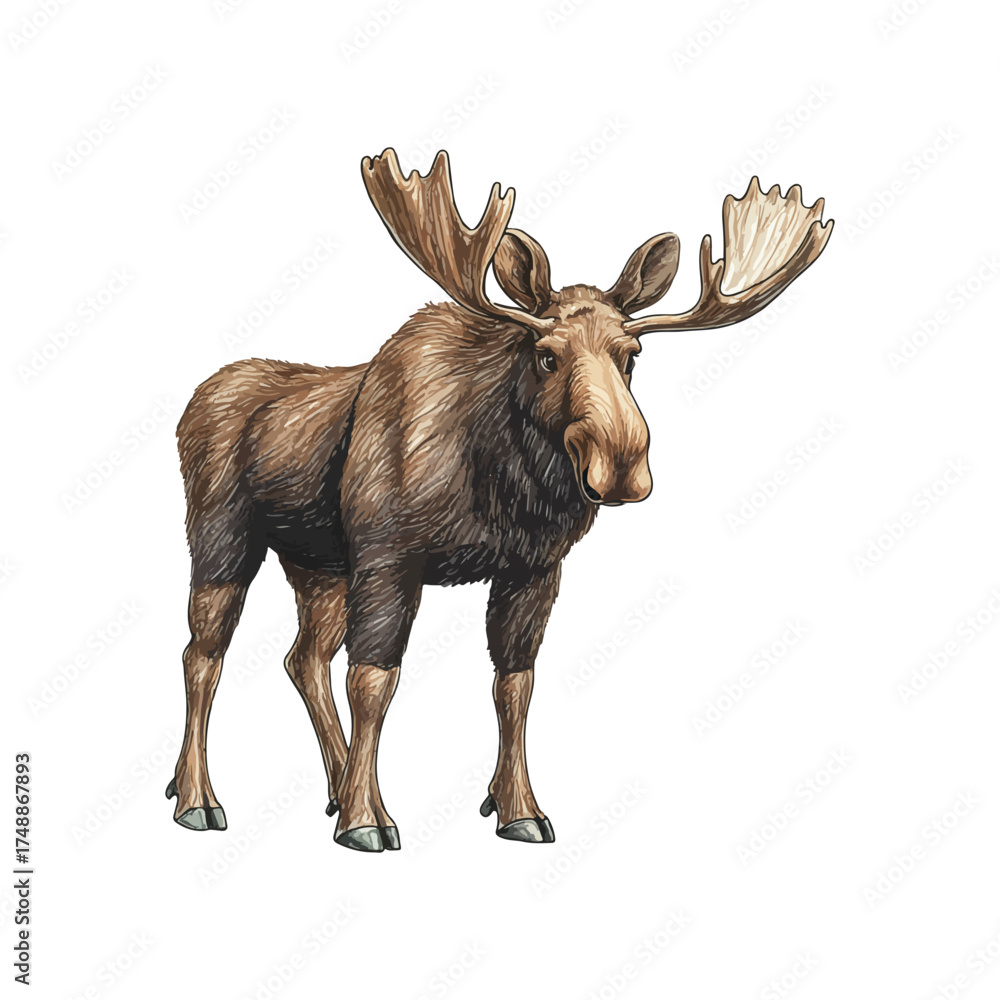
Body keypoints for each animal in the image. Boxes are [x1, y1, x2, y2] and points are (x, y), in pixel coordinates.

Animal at [166, 148, 833, 851]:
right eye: (546, 355)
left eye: (631, 354)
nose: (623, 466)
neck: (504, 486)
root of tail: (191, 406)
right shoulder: (388, 557)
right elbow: (374, 680)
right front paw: (368, 819)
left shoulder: (532, 569)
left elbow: (514, 686)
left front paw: (517, 808)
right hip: (224, 540)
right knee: (203, 655)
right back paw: (199, 798)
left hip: (318, 565)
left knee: (302, 659)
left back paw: (328, 787)